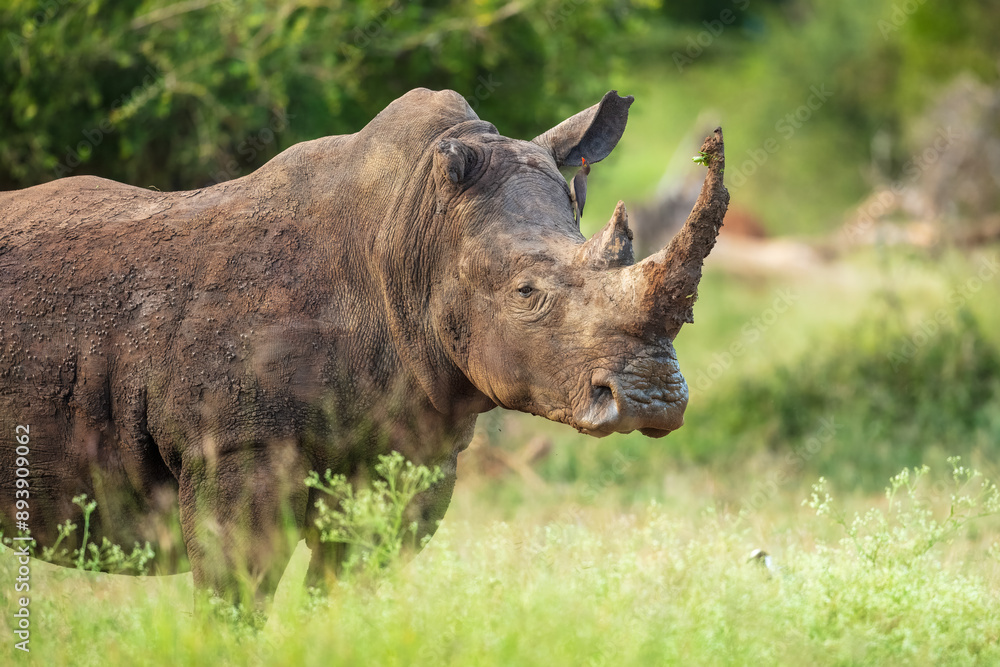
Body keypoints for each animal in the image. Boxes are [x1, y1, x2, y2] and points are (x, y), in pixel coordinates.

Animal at [0, 88, 728, 602]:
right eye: (526, 292)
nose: (652, 400)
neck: (410, 235)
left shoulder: (415, 448)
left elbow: (352, 586)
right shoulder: (235, 444)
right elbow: (238, 596)